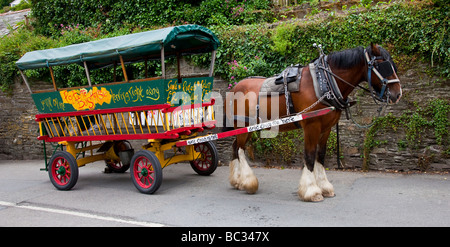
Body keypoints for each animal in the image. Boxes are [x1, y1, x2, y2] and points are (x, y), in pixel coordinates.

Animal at [223, 44, 402, 202]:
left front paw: (325, 187)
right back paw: (248, 182)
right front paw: (311, 191)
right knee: (240, 150)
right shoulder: (311, 126)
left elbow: (320, 156)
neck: (324, 83)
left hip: (248, 127)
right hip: (242, 125)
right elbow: (309, 156)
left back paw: (237, 181)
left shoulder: (326, 128)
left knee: (235, 147)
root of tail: (235, 87)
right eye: (383, 65)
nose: (398, 93)